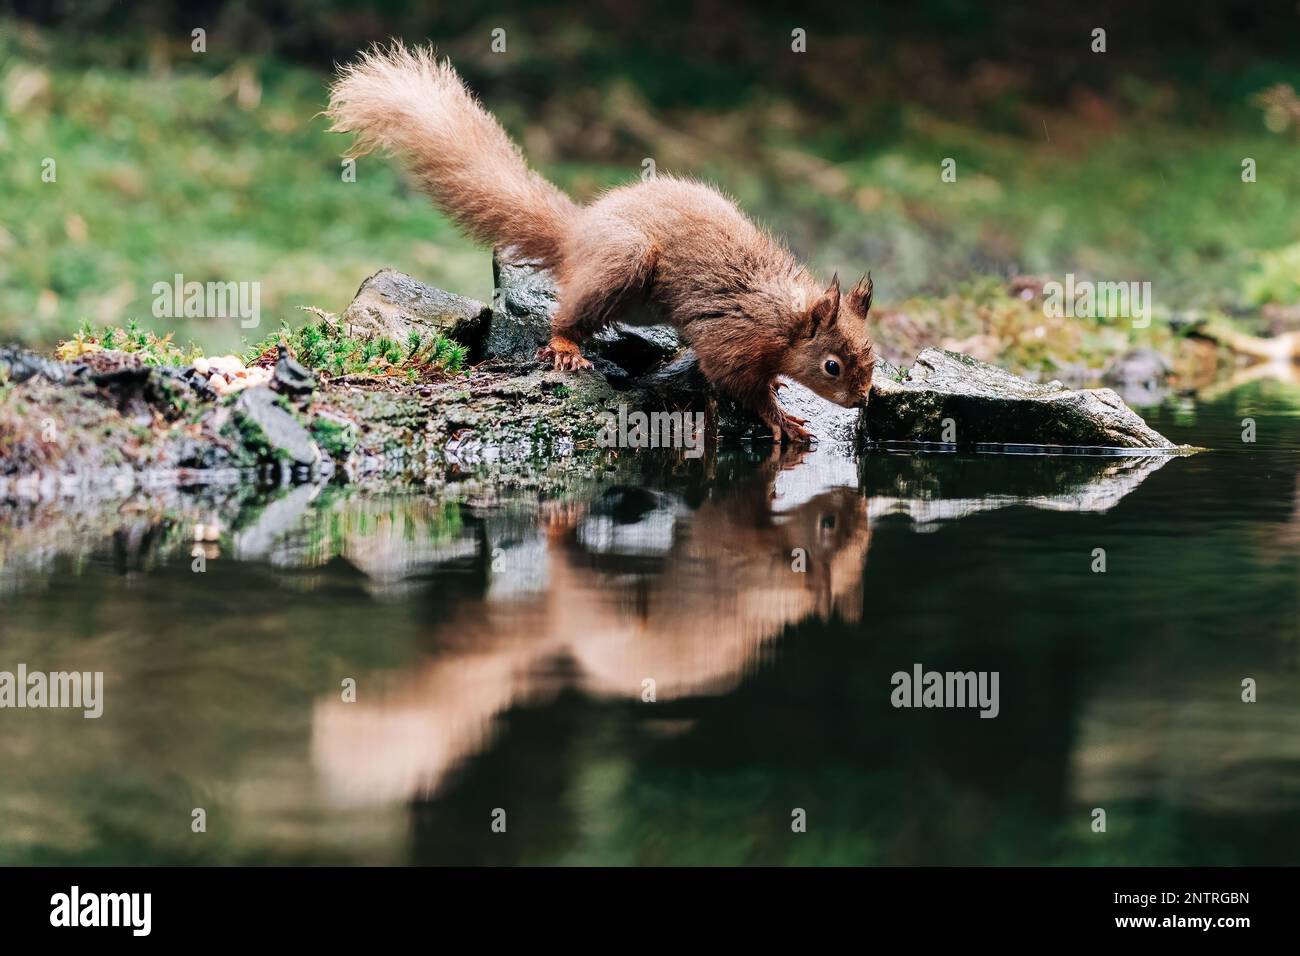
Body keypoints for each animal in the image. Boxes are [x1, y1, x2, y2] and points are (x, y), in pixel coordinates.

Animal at [326, 42, 877, 443]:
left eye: (869, 355)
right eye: (831, 366)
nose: (863, 399)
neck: (783, 319)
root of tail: (579, 233)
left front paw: (780, 387)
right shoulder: (734, 339)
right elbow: (736, 383)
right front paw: (779, 416)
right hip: (622, 264)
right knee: (568, 314)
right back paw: (566, 345)